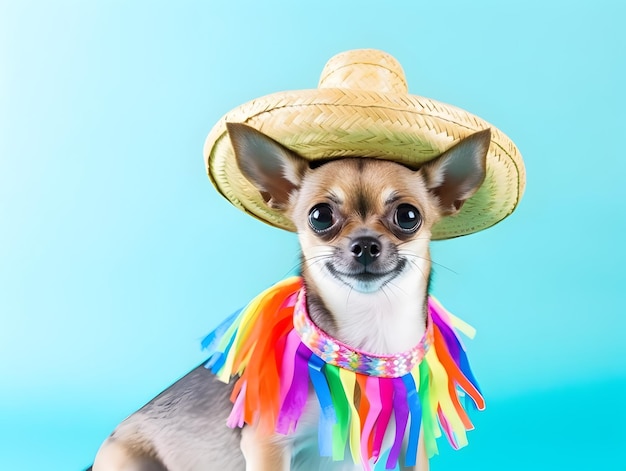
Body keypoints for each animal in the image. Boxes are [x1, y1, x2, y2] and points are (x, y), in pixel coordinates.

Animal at [92, 124, 490, 471]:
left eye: (408, 216)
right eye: (320, 216)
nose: (364, 244)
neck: (368, 341)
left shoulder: (411, 446)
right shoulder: (267, 446)